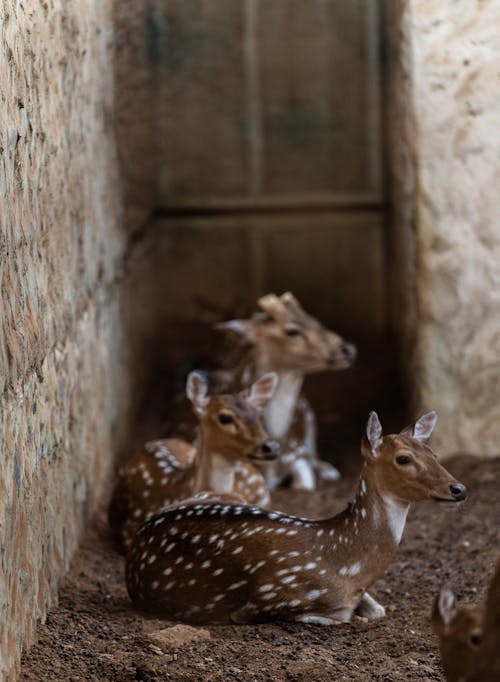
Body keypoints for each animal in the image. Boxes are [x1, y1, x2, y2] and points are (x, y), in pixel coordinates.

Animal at [126, 406, 468, 624]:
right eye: (403, 458)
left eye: (433, 453)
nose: (459, 488)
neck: (347, 568)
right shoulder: (269, 599)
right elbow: (339, 618)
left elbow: (374, 610)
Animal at [215, 290, 356, 488]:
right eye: (292, 331)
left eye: (314, 319)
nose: (349, 349)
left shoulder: (298, 453)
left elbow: (305, 483)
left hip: (309, 416)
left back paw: (328, 470)